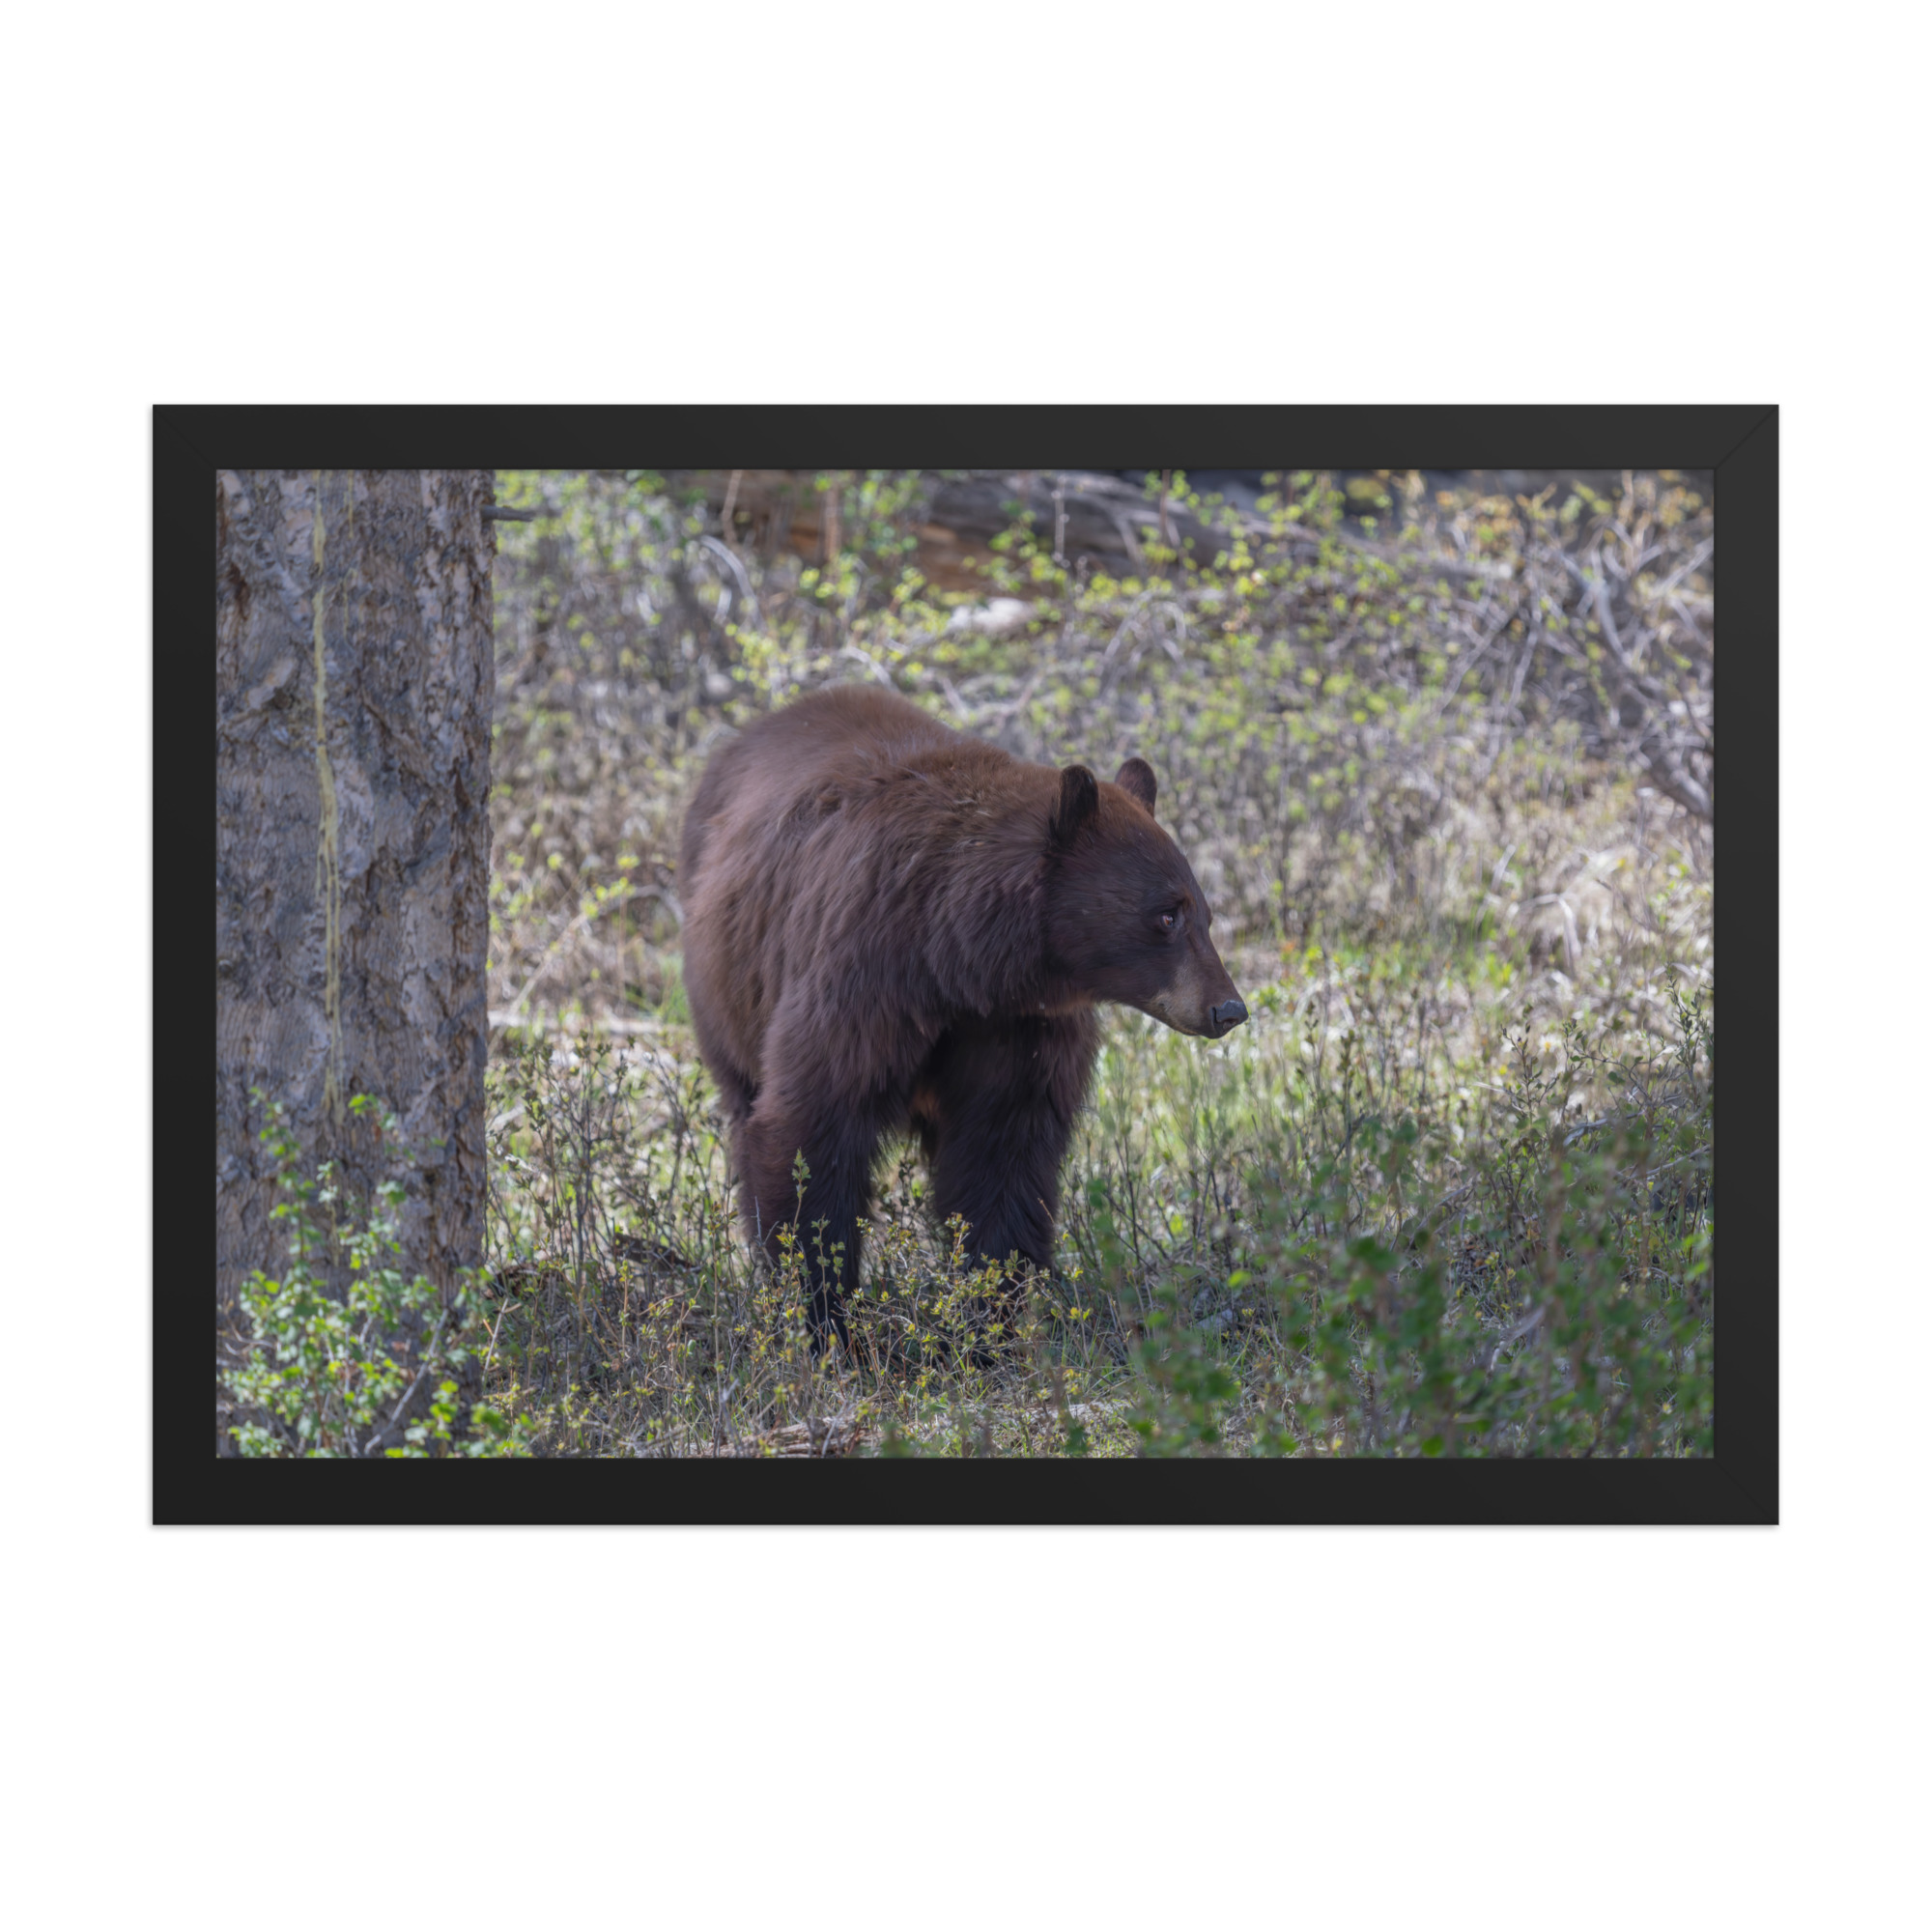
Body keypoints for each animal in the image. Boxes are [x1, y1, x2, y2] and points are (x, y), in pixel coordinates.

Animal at [677, 683, 1246, 1349]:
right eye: (1166, 914)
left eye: (1204, 914)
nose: (1228, 1008)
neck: (957, 959)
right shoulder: (863, 976)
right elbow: (813, 1128)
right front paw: (828, 1323)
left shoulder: (1018, 1027)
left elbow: (1003, 1155)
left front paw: (985, 1323)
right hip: (727, 989)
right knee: (746, 1109)